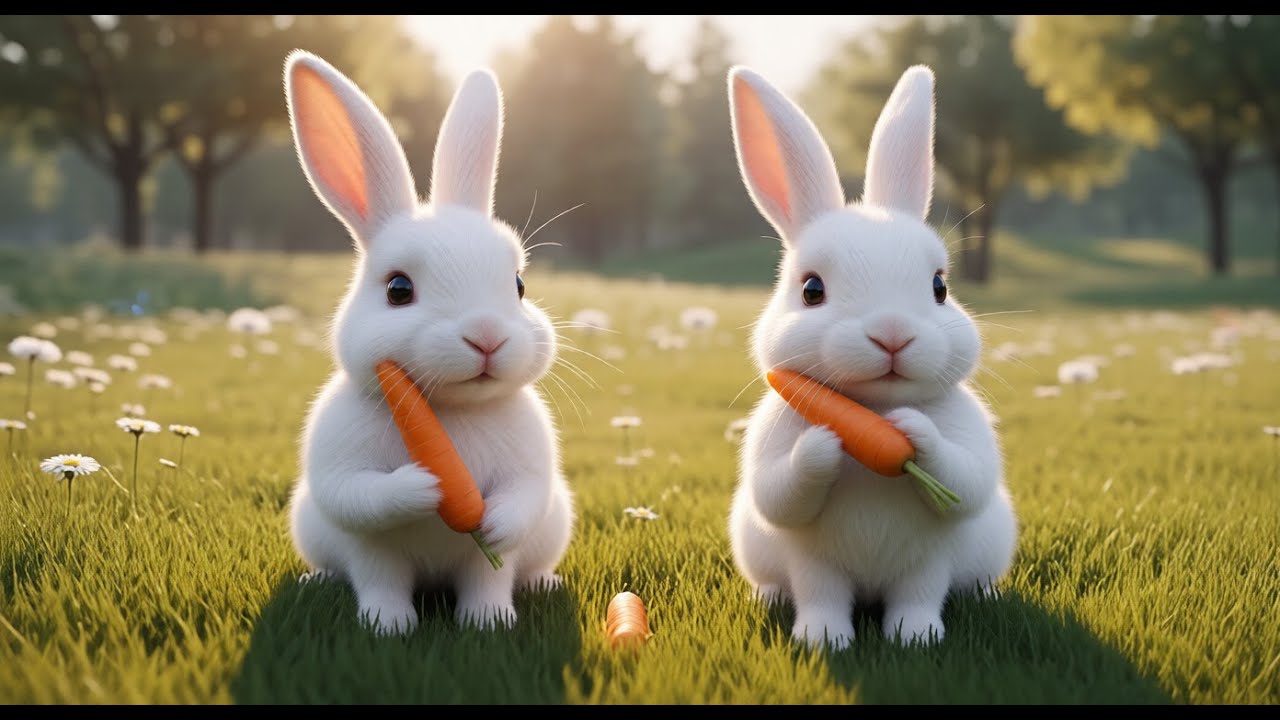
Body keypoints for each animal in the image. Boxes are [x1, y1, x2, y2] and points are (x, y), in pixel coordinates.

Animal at [282, 50, 574, 635]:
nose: (486, 336)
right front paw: (425, 488)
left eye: (518, 285)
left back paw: (526, 594)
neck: (447, 410)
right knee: (373, 580)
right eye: (398, 289)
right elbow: (357, 496)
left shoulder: (529, 469)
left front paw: (488, 621)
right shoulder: (344, 480)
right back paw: (366, 610)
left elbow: (518, 508)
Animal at [725, 64, 1018, 649]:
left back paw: (933, 623)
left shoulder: (944, 517)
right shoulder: (792, 511)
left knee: (925, 593)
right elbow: (780, 493)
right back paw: (801, 619)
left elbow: (966, 478)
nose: (892, 334)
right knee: (814, 593)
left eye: (939, 287)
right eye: (811, 290)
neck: (872, 410)